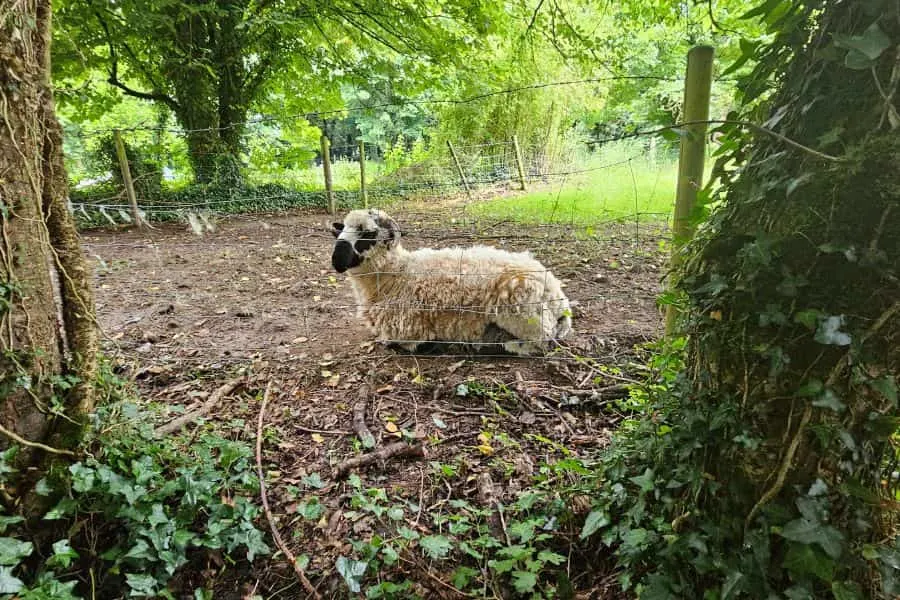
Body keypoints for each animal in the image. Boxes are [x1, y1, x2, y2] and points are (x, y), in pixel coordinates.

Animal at [328, 207, 568, 354]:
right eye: (340, 232)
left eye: (368, 234)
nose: (336, 259)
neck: (396, 273)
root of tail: (558, 296)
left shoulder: (408, 331)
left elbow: (401, 343)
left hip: (523, 314)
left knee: (542, 342)